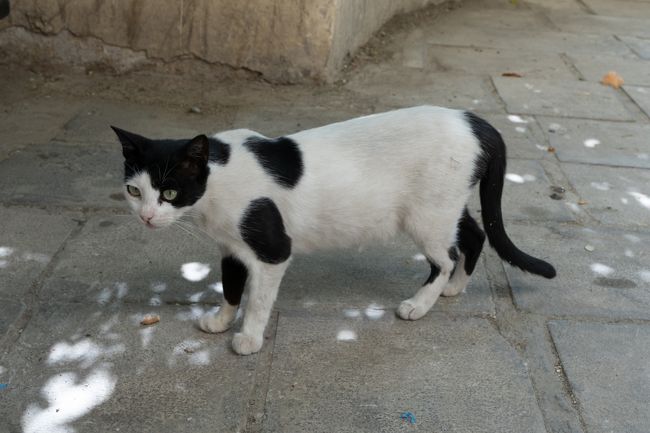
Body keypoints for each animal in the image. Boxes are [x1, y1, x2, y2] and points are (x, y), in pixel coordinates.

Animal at [111, 105, 552, 354]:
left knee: (444, 257)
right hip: (446, 207)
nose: (146, 216)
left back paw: (421, 303)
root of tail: (475, 121)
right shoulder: (231, 248)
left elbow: (257, 302)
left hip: (426, 216)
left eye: (170, 191)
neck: (215, 181)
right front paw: (220, 322)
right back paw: (455, 288)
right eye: (134, 190)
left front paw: (248, 340)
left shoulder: (272, 251)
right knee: (474, 235)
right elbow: (231, 288)